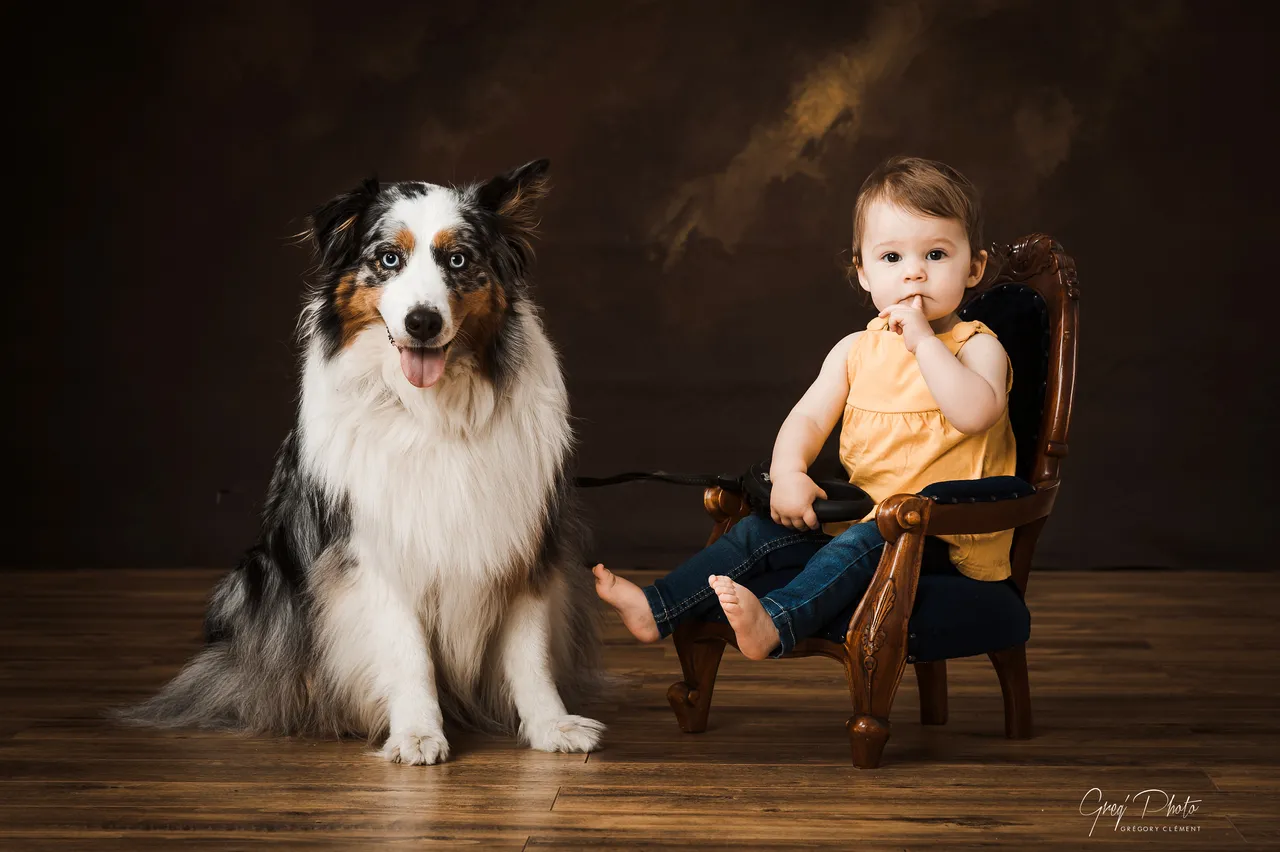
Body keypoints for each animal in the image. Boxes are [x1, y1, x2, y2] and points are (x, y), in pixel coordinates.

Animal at [115, 159, 604, 762]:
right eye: (388, 259)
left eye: (458, 260)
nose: (422, 322)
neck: (434, 414)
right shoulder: (371, 551)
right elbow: (407, 651)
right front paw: (416, 732)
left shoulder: (525, 539)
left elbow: (529, 651)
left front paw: (551, 724)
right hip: (254, 578)